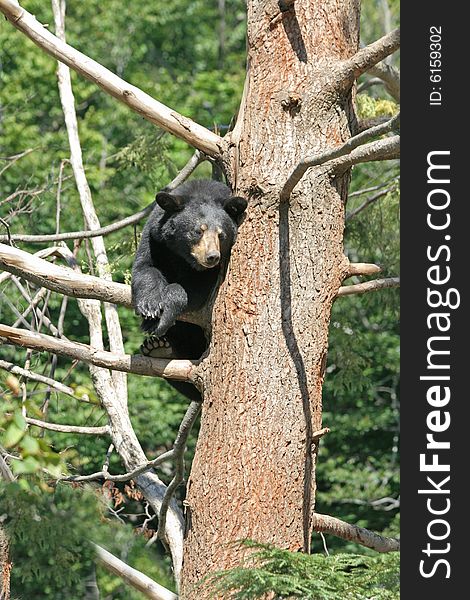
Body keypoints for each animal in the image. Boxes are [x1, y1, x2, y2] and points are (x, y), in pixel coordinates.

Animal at [131, 179, 246, 404]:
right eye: (197, 231)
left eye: (221, 234)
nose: (212, 257)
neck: (182, 256)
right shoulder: (155, 238)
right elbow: (145, 267)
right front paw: (150, 309)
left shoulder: (210, 275)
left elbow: (193, 291)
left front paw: (165, 312)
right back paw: (158, 348)